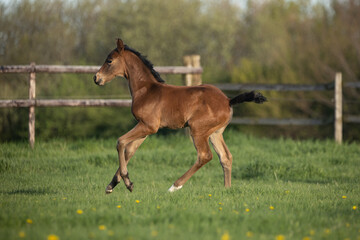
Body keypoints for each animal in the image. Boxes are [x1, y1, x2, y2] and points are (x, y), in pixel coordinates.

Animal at [93, 39, 268, 193]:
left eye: (109, 61)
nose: (96, 78)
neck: (145, 89)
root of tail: (228, 100)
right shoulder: (145, 128)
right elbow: (129, 150)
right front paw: (112, 185)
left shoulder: (149, 126)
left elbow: (120, 142)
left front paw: (127, 182)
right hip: (215, 132)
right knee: (225, 157)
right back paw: (227, 189)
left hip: (198, 130)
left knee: (205, 156)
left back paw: (175, 186)